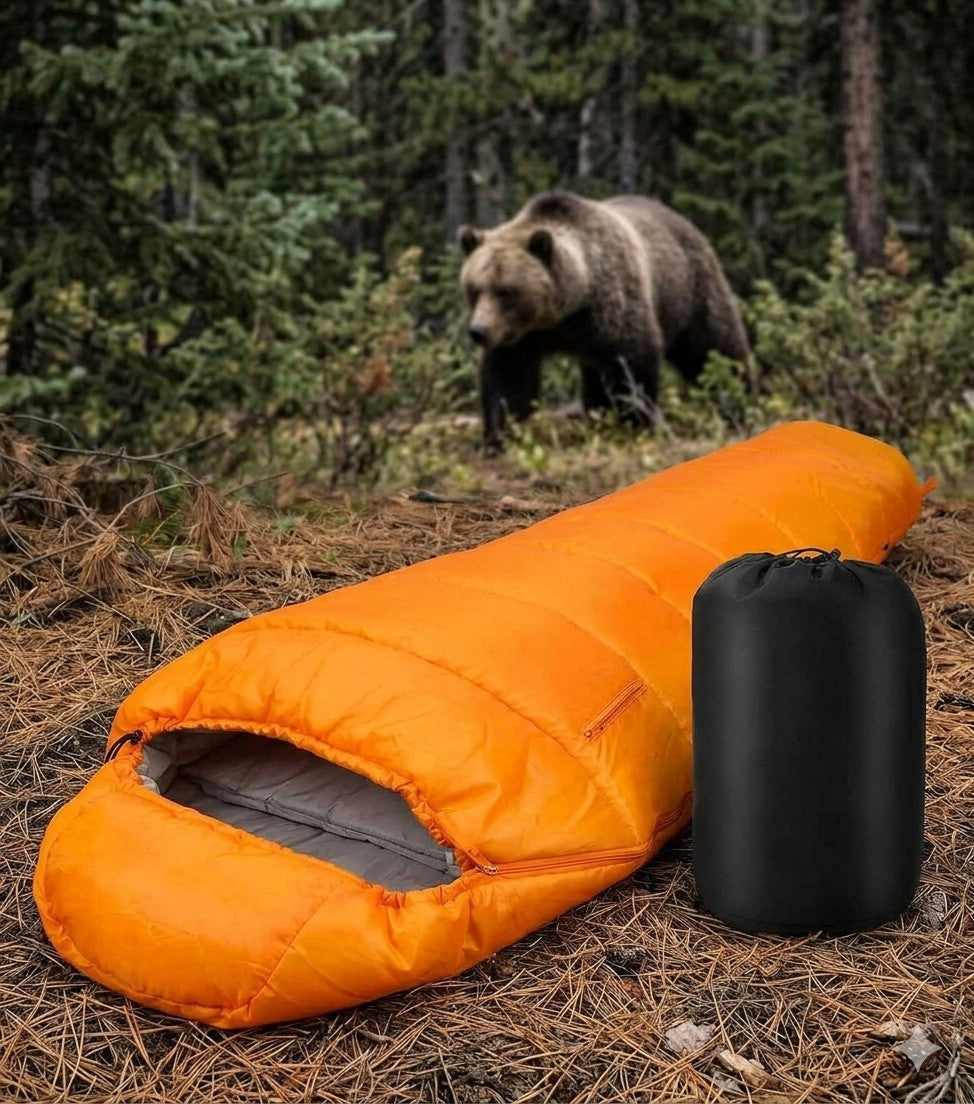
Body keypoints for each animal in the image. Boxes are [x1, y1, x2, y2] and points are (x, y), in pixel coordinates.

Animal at [458, 191, 751, 449]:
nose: (478, 331)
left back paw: (739, 402)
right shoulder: (522, 335)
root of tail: (681, 219)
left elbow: (633, 362)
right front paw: (498, 436)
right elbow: (507, 377)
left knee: (714, 347)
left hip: (688, 289)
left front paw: (634, 423)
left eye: (506, 292)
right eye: (475, 289)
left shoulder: (610, 309)